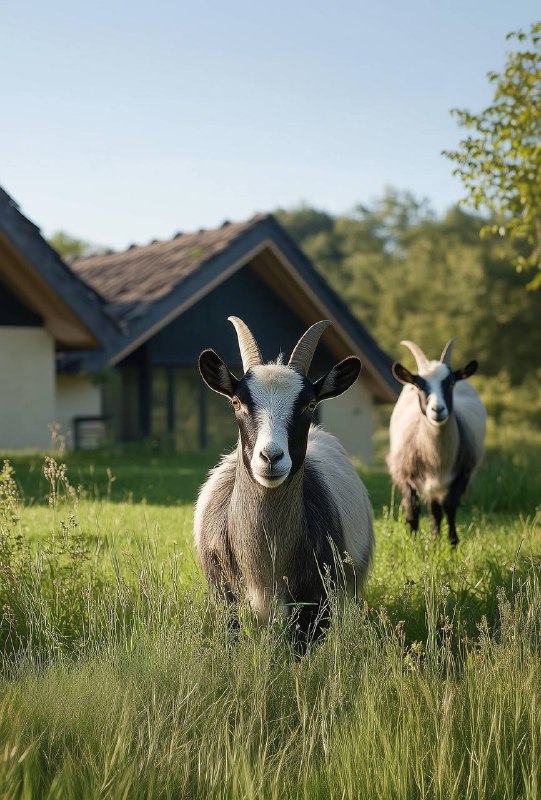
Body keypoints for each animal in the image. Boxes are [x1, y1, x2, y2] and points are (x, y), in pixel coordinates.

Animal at [386, 338, 488, 544]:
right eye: (419, 385)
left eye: (451, 383)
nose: (437, 410)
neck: (437, 460)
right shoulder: (405, 474)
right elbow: (413, 509)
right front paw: (413, 542)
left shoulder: (462, 474)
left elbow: (449, 506)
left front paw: (452, 542)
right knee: (433, 509)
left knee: (437, 510)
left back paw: (435, 538)